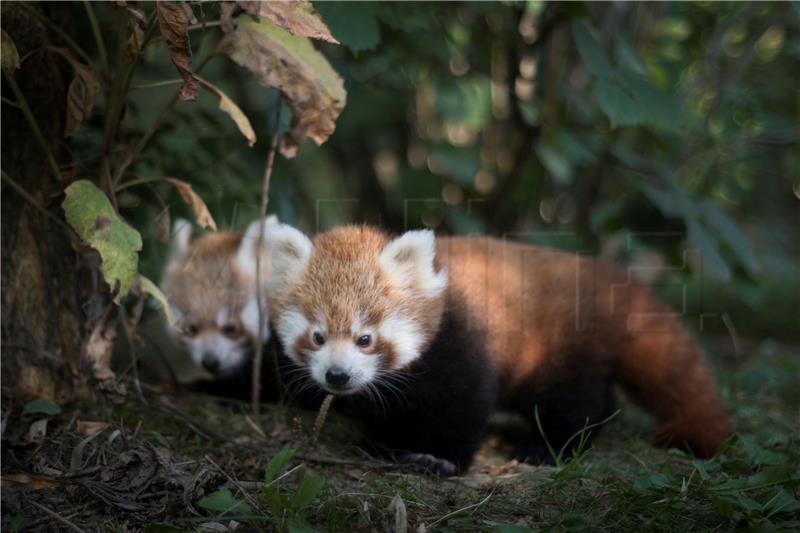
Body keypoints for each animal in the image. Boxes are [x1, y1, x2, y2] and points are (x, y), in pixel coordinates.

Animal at [268, 223, 732, 474]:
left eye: (365, 338)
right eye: (317, 336)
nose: (338, 376)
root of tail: (607, 281)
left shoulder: (461, 345)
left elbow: (465, 406)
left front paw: (438, 459)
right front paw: (382, 442)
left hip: (557, 350)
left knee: (575, 403)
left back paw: (547, 448)